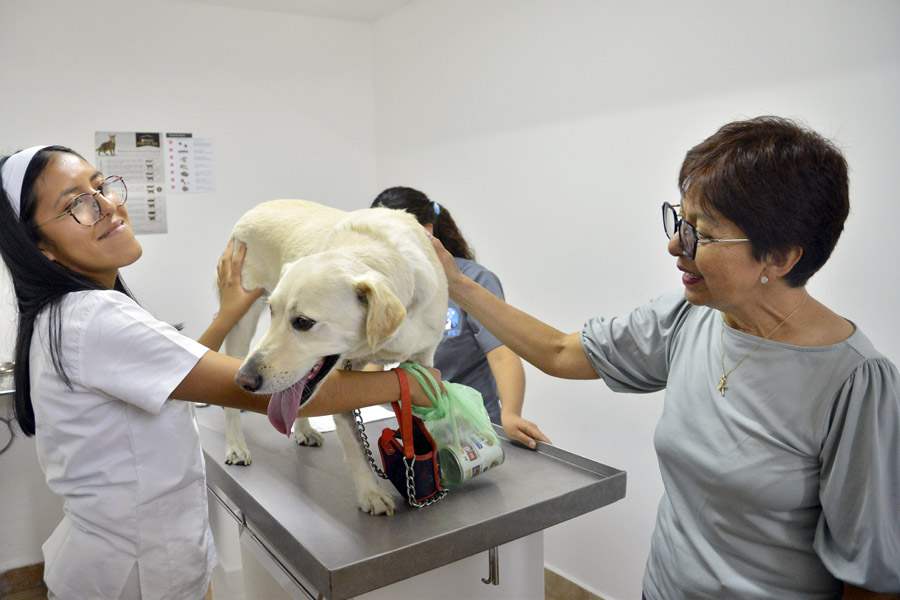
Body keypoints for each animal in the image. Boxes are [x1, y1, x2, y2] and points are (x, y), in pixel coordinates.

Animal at [221, 199, 446, 512]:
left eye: (303, 322)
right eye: (272, 310)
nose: (244, 380)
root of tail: (260, 206)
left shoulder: (423, 360)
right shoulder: (345, 380)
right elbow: (354, 445)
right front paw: (370, 492)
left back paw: (302, 430)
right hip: (240, 321)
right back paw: (236, 446)